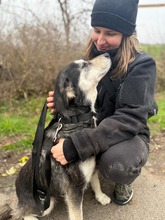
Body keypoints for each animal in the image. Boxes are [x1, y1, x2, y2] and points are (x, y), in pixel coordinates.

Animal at [12, 52, 111, 220]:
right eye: (84, 65)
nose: (107, 53)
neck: (75, 120)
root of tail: (19, 198)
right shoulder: (74, 190)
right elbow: (77, 215)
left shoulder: (92, 167)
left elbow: (96, 181)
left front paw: (101, 196)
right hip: (45, 204)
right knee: (22, 214)